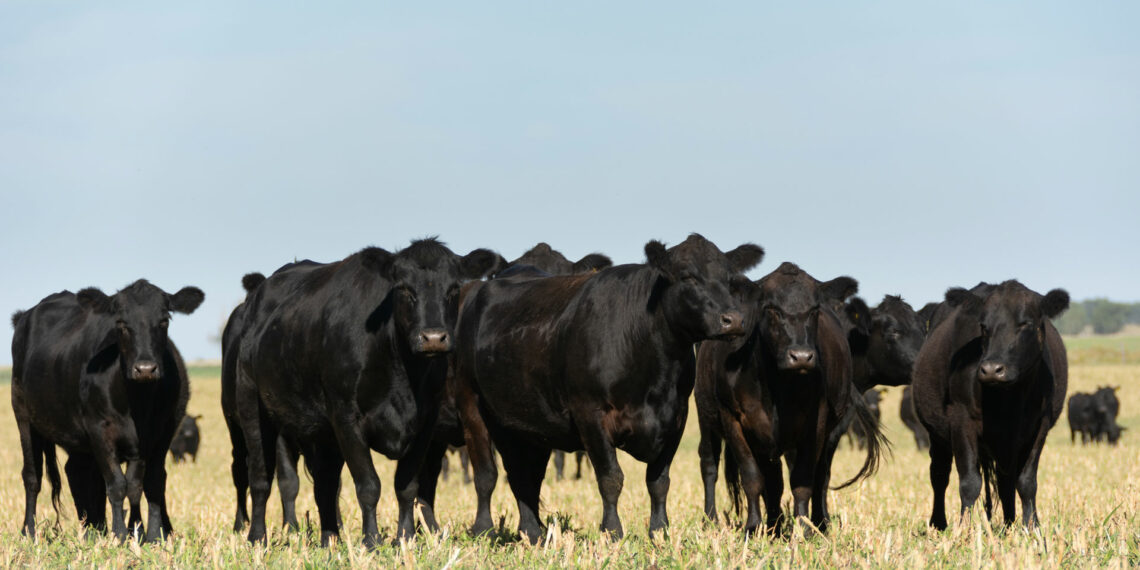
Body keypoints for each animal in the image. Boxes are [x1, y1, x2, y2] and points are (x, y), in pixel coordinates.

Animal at [10, 280, 203, 542]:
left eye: (164, 320)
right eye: (120, 323)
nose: (145, 368)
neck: (137, 402)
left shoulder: (156, 436)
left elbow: (141, 484)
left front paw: (147, 534)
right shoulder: (100, 431)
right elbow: (117, 484)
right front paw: (120, 534)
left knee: (78, 473)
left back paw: (93, 529)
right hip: (23, 415)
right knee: (32, 476)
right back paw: (29, 531)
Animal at [235, 238, 498, 546]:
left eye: (454, 288)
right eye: (403, 288)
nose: (433, 338)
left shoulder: (425, 424)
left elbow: (406, 485)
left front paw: (405, 537)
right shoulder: (347, 418)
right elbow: (369, 486)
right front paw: (371, 541)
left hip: (322, 433)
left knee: (325, 485)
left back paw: (330, 539)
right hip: (253, 408)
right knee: (260, 479)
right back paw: (257, 537)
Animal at [452, 234, 763, 542]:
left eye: (730, 279)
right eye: (688, 276)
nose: (733, 320)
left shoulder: (676, 416)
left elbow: (659, 481)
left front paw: (659, 531)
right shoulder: (590, 413)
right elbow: (611, 478)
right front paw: (612, 532)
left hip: (523, 423)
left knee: (524, 477)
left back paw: (532, 532)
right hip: (471, 403)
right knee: (486, 474)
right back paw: (484, 529)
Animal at [695, 262, 885, 534]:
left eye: (815, 310)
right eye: (772, 308)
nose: (801, 356)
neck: (776, 387)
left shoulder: (816, 423)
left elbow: (802, 480)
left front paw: (804, 529)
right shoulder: (733, 419)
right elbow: (751, 477)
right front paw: (752, 527)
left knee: (813, 476)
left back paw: (805, 523)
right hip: (706, 415)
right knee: (710, 465)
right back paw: (713, 519)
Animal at [912, 280, 1068, 529]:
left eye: (1025, 323)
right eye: (984, 326)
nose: (992, 369)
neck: (1007, 400)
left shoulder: (1040, 425)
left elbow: (1027, 482)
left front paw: (1032, 526)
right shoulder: (961, 419)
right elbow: (969, 482)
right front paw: (964, 530)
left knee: (1006, 482)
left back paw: (1009, 523)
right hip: (936, 434)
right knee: (939, 474)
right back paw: (939, 523)